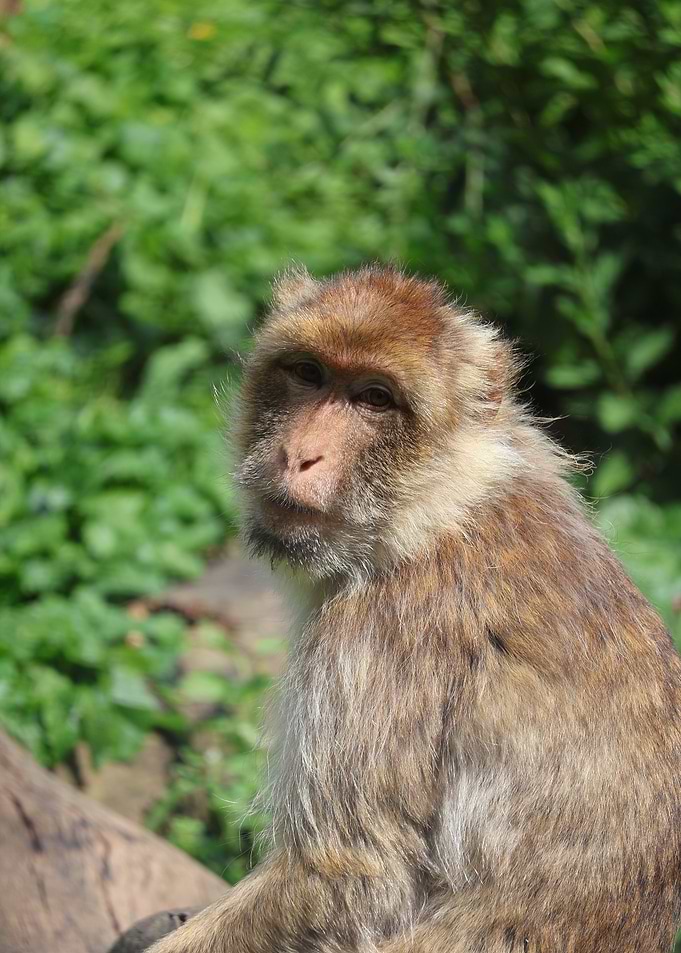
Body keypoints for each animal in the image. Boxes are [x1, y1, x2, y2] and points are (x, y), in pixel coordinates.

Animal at [148, 265, 681, 953]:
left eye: (374, 398)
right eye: (309, 374)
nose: (299, 455)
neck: (432, 510)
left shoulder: (375, 640)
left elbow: (350, 872)